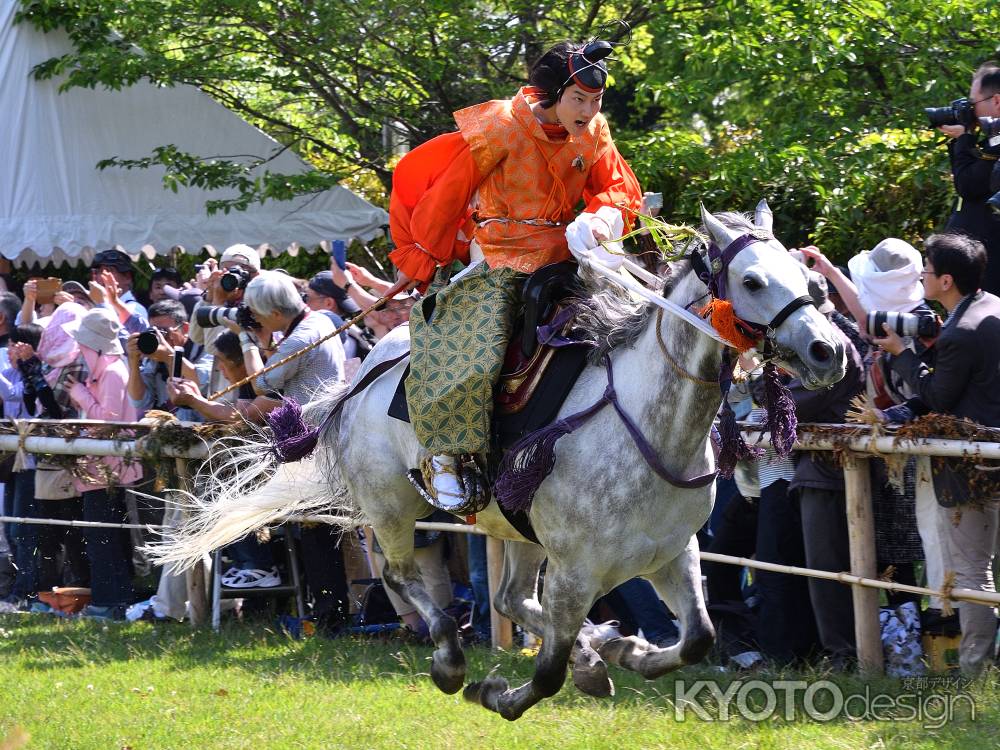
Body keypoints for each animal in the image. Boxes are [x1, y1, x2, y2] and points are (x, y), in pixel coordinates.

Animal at [156, 206, 844, 724]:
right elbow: (547, 670)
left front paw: (628, 653)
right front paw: (504, 692)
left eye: (806, 278)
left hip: (513, 528)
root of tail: (364, 373)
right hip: (392, 507)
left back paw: (600, 649)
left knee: (508, 598)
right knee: (404, 579)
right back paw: (452, 660)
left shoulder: (672, 554)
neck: (648, 425)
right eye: (752, 281)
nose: (829, 350)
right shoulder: (576, 570)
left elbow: (698, 638)